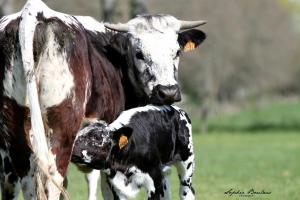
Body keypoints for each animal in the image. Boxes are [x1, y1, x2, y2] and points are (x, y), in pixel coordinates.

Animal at [0, 0, 206, 198]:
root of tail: (35, 11)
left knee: (24, 179)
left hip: (16, 129)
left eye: (177, 52)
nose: (168, 91)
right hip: (62, 128)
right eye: (139, 53)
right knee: (52, 179)